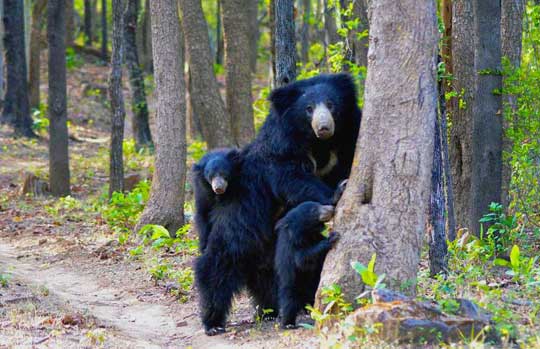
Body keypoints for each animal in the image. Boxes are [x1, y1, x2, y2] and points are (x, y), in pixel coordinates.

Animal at [195, 73, 362, 334]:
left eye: (332, 105)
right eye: (308, 108)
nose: (324, 127)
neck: (318, 144)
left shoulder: (346, 140)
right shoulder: (280, 148)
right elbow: (290, 176)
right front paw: (337, 192)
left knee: (282, 275)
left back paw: (275, 309)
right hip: (240, 224)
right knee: (217, 266)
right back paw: (213, 322)